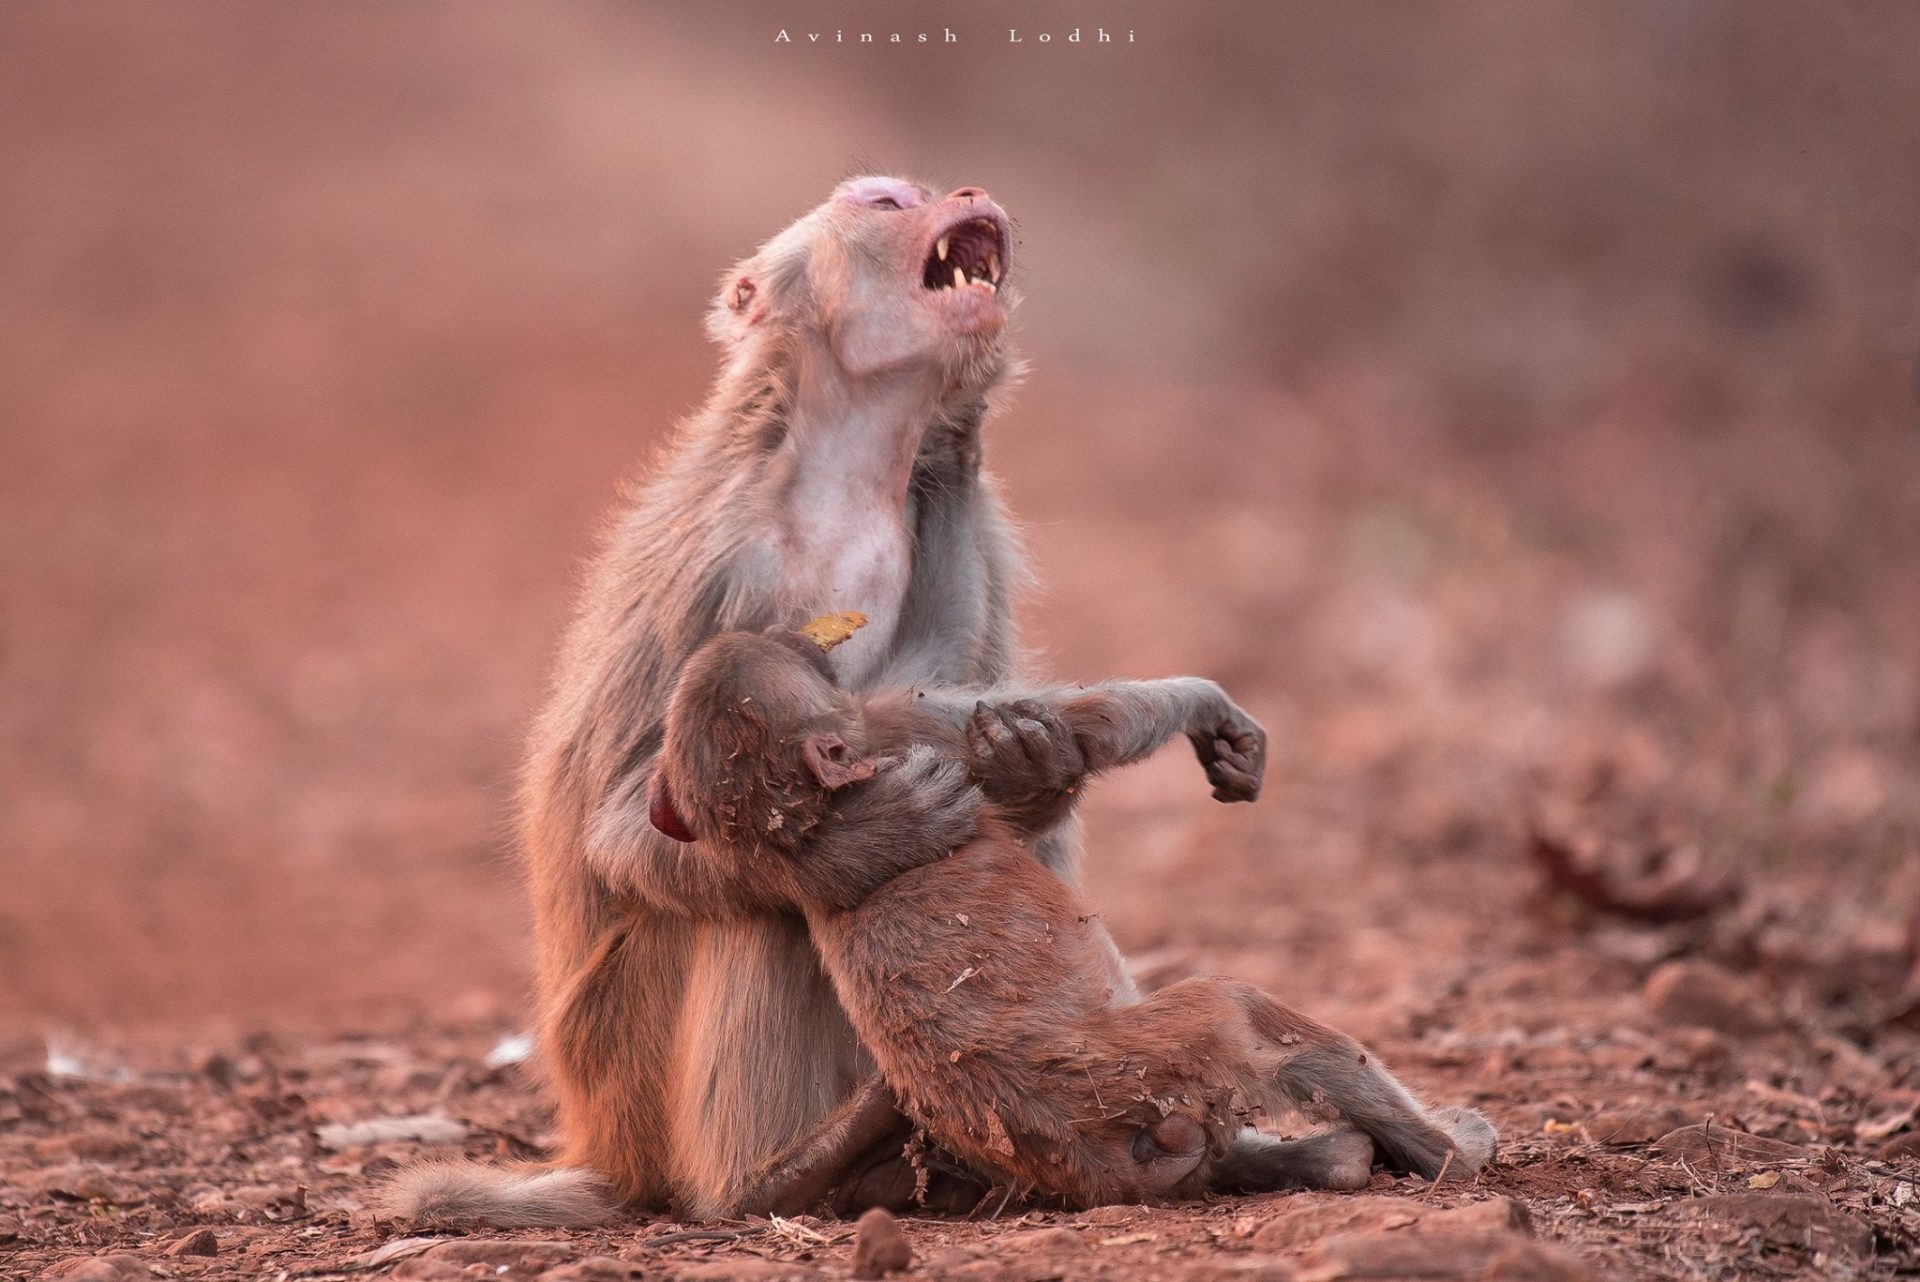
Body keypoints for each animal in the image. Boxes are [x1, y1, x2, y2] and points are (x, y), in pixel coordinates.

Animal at [387, 175, 1090, 1228]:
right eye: (886, 202)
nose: (963, 193)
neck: (844, 474)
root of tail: (604, 1141)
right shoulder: (727, 570)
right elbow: (630, 822)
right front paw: (864, 847)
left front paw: (1030, 761)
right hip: (633, 1058)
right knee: (759, 905)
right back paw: (775, 1176)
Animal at [652, 621, 1489, 1212]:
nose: (797, 633)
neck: (810, 821)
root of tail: (1093, 1155)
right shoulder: (899, 730)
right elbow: (1095, 723)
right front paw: (1206, 703)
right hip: (1152, 1063)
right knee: (1238, 1010)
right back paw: (1448, 1149)